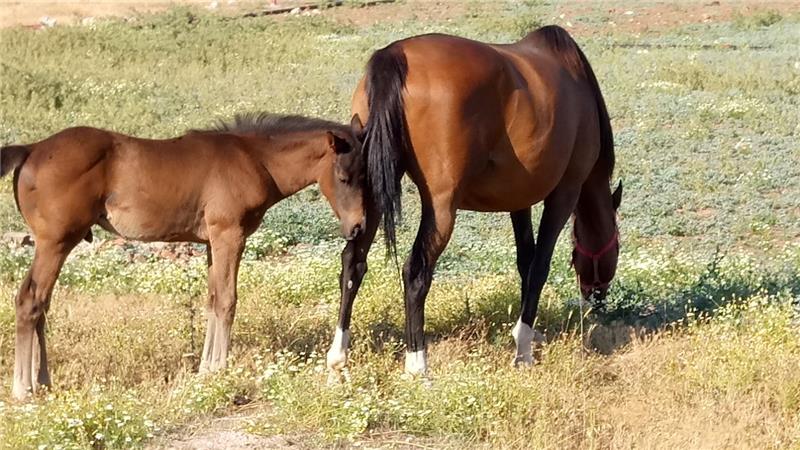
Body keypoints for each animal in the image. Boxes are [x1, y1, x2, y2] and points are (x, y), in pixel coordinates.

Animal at [0, 112, 368, 400]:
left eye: (366, 175)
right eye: (343, 177)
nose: (358, 227)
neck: (255, 159)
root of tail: (31, 149)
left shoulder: (211, 241)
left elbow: (212, 299)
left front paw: (204, 368)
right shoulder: (229, 234)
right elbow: (227, 300)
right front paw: (218, 369)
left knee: (41, 304)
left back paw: (43, 382)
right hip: (56, 242)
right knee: (30, 301)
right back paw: (24, 389)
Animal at [328, 25, 620, 376]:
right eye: (618, 248)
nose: (597, 297)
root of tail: (395, 55)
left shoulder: (518, 199)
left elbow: (525, 262)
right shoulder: (565, 193)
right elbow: (539, 266)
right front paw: (523, 349)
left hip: (369, 193)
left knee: (353, 262)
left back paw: (338, 355)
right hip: (442, 209)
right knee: (415, 272)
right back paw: (417, 363)